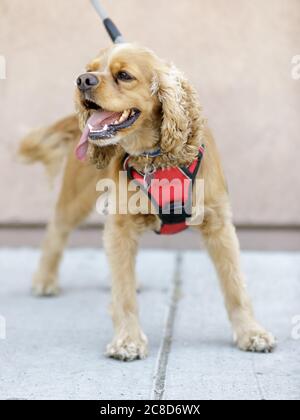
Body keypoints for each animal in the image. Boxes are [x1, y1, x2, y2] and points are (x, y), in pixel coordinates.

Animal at [18, 43, 276, 360]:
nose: (82, 80)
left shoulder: (218, 224)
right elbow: (124, 293)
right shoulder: (121, 225)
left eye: (124, 75)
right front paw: (127, 339)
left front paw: (251, 332)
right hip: (77, 197)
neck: (156, 157)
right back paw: (45, 280)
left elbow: (235, 285)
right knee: (57, 230)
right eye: (90, 69)